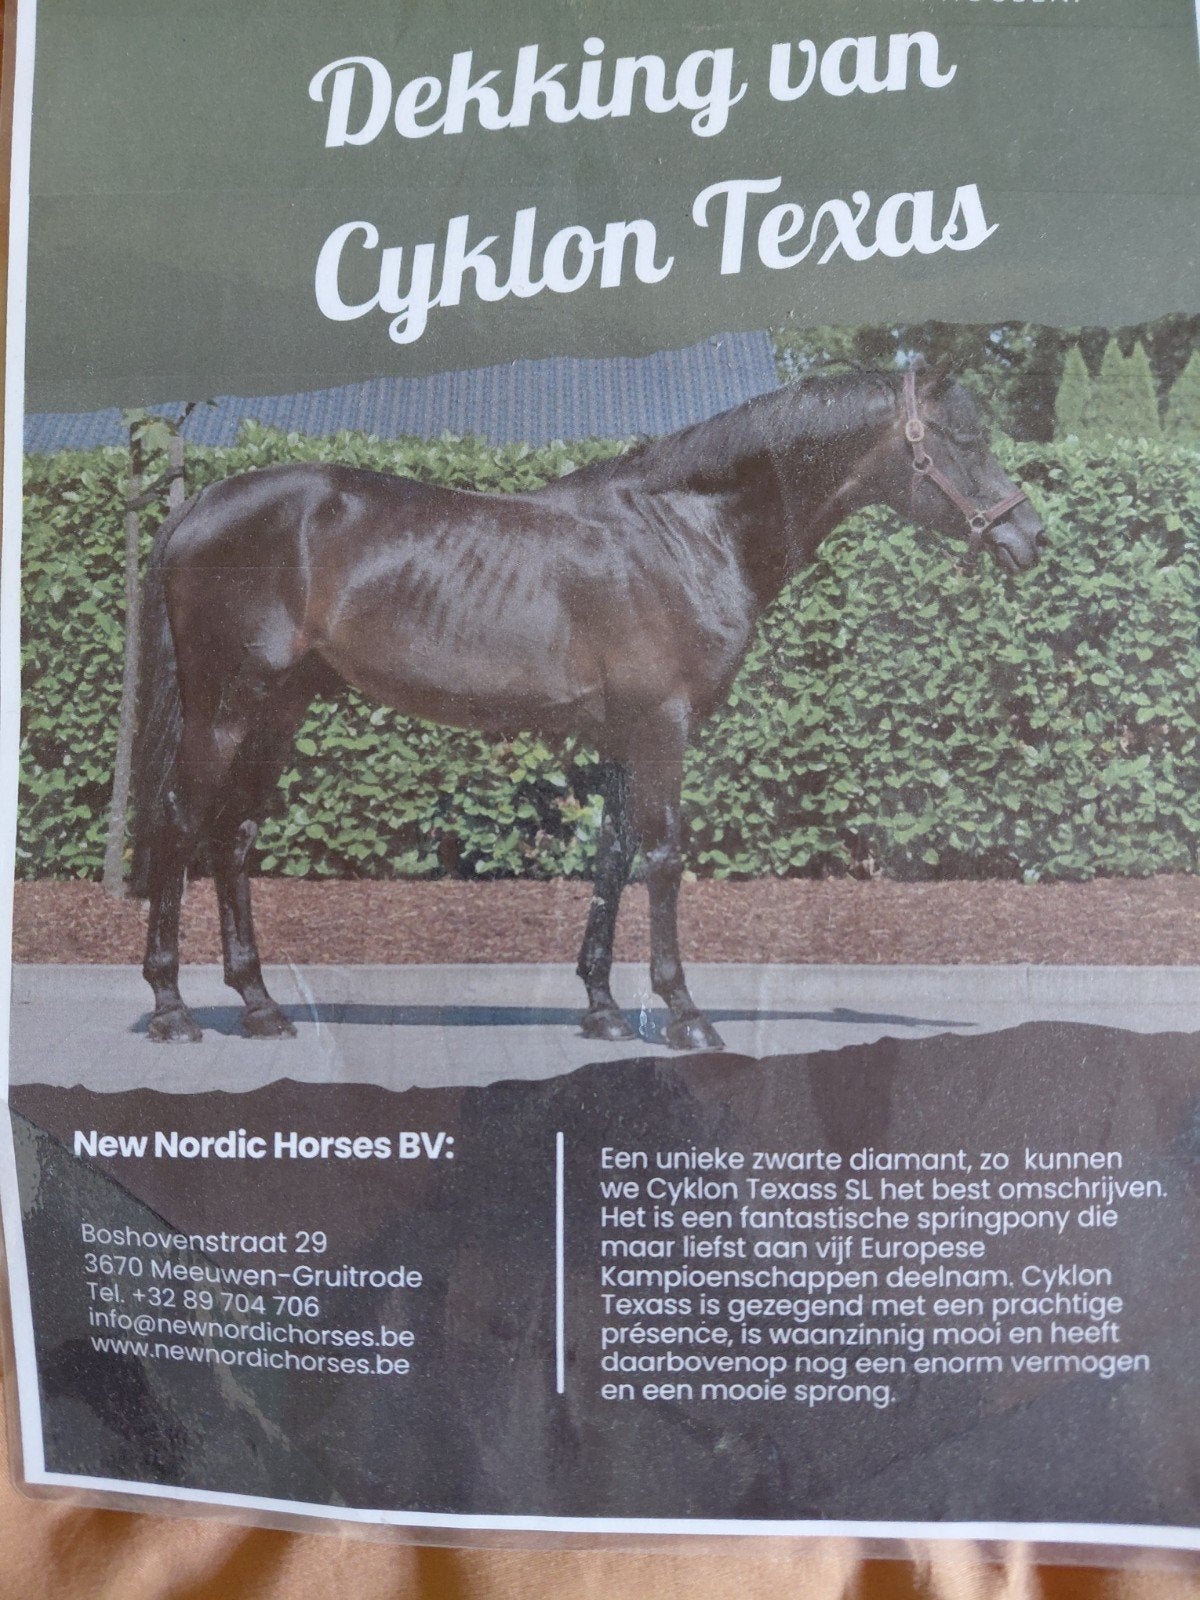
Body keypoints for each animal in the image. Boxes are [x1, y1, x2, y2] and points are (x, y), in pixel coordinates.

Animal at [128, 360, 1046, 1049]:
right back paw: (173, 1009)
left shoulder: (619, 737)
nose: (1029, 536)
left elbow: (611, 857)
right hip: (224, 710)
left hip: (277, 713)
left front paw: (602, 1008)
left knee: (234, 837)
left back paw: (260, 1004)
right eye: (963, 441)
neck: (686, 533)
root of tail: (194, 511)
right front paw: (685, 1014)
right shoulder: (663, 728)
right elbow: (664, 857)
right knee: (180, 824)